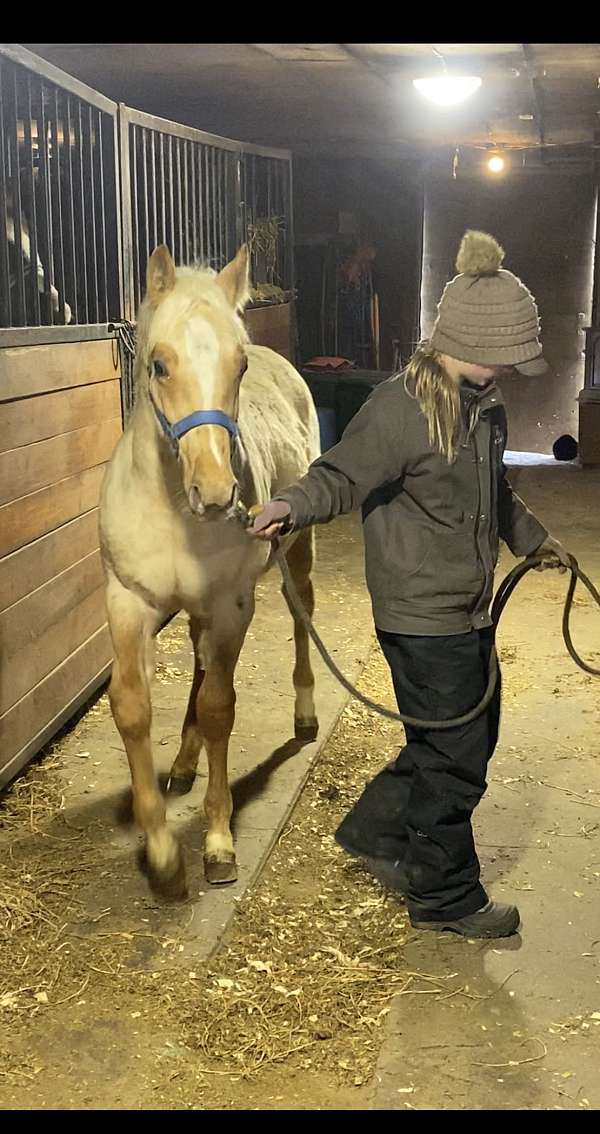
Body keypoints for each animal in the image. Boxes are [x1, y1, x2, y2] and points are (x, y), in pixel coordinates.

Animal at [99, 244, 321, 898]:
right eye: (158, 364)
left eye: (238, 366)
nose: (218, 494)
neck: (174, 508)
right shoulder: (128, 601)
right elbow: (132, 707)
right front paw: (162, 853)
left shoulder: (230, 605)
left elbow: (222, 707)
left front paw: (218, 843)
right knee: (199, 664)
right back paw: (182, 762)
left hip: (296, 554)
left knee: (302, 613)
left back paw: (304, 713)